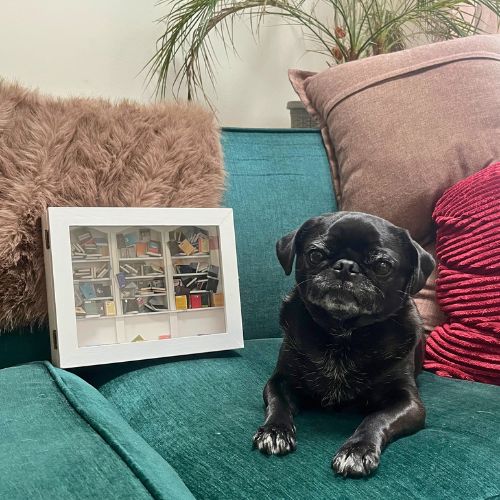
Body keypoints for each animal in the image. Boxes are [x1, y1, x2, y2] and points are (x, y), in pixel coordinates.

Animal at [252, 210, 436, 476]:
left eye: (382, 266)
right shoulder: (280, 380)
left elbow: (376, 419)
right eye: (315, 255)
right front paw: (275, 431)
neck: (343, 334)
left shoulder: (409, 402)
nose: (346, 266)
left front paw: (357, 450)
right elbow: (278, 403)